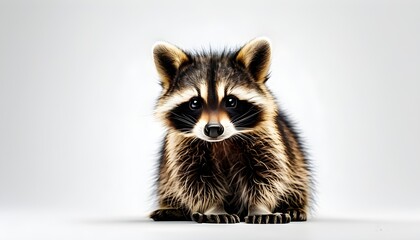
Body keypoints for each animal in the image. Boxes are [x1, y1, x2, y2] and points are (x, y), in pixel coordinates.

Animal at [149, 37, 310, 223]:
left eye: (231, 101)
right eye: (195, 103)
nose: (213, 129)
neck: (221, 142)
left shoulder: (266, 138)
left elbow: (267, 174)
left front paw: (259, 207)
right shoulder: (182, 147)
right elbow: (196, 180)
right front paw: (214, 208)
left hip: (297, 162)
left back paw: (294, 207)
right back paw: (172, 209)